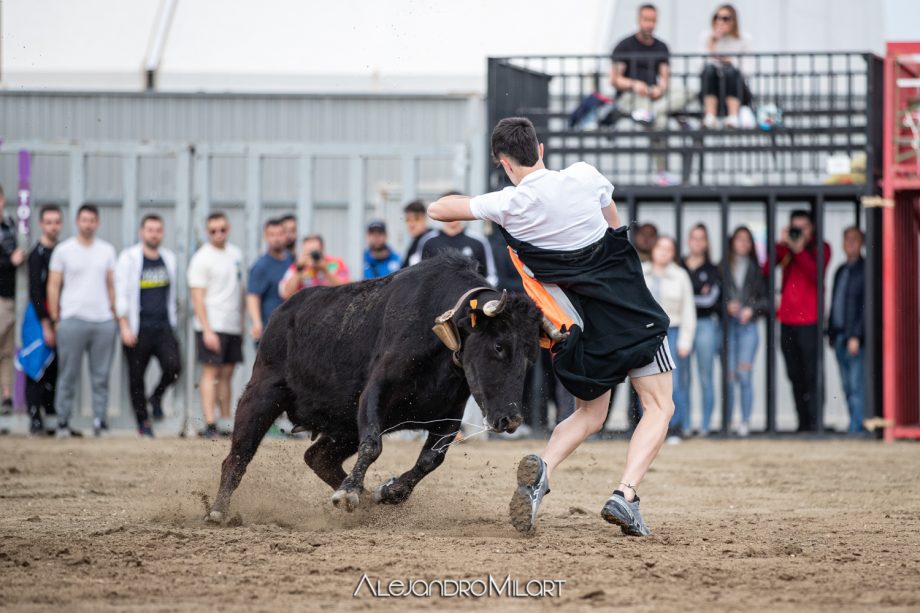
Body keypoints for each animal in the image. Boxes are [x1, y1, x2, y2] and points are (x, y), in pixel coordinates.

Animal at [205, 251, 544, 520]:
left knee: (318, 457)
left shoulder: (449, 414)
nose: (511, 419)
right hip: (261, 395)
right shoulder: (375, 392)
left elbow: (431, 458)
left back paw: (366, 499)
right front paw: (349, 494)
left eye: (531, 356)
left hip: (342, 426)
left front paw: (388, 491)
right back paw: (218, 511)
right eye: (499, 346)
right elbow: (373, 444)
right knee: (238, 456)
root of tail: (283, 312)